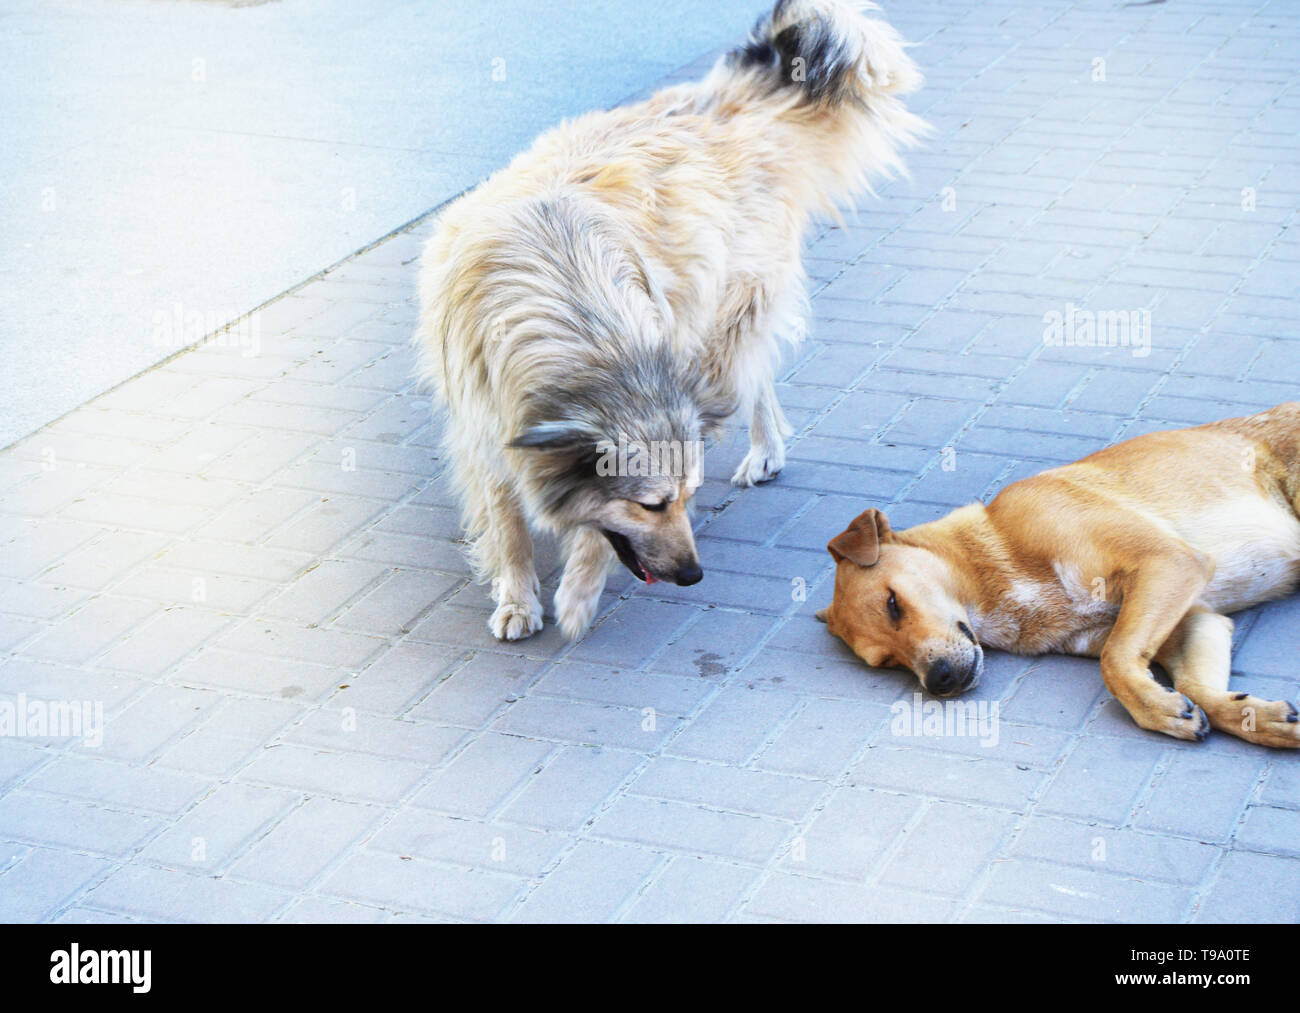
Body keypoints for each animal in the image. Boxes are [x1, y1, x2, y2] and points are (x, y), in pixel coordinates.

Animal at [816, 403, 1300, 743]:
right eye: (885, 662)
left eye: (892, 603)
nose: (940, 682)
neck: (996, 560)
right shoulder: (1194, 620)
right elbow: (1193, 686)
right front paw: (1256, 717)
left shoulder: (1168, 563)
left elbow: (1114, 662)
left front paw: (1155, 708)